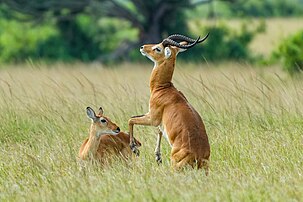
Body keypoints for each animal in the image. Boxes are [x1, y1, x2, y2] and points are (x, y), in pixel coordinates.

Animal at [128, 33, 211, 174]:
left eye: (158, 48)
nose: (142, 47)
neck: (163, 88)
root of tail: (198, 157)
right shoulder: (158, 121)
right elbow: (159, 131)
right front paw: (157, 156)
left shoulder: (152, 118)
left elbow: (131, 119)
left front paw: (134, 148)